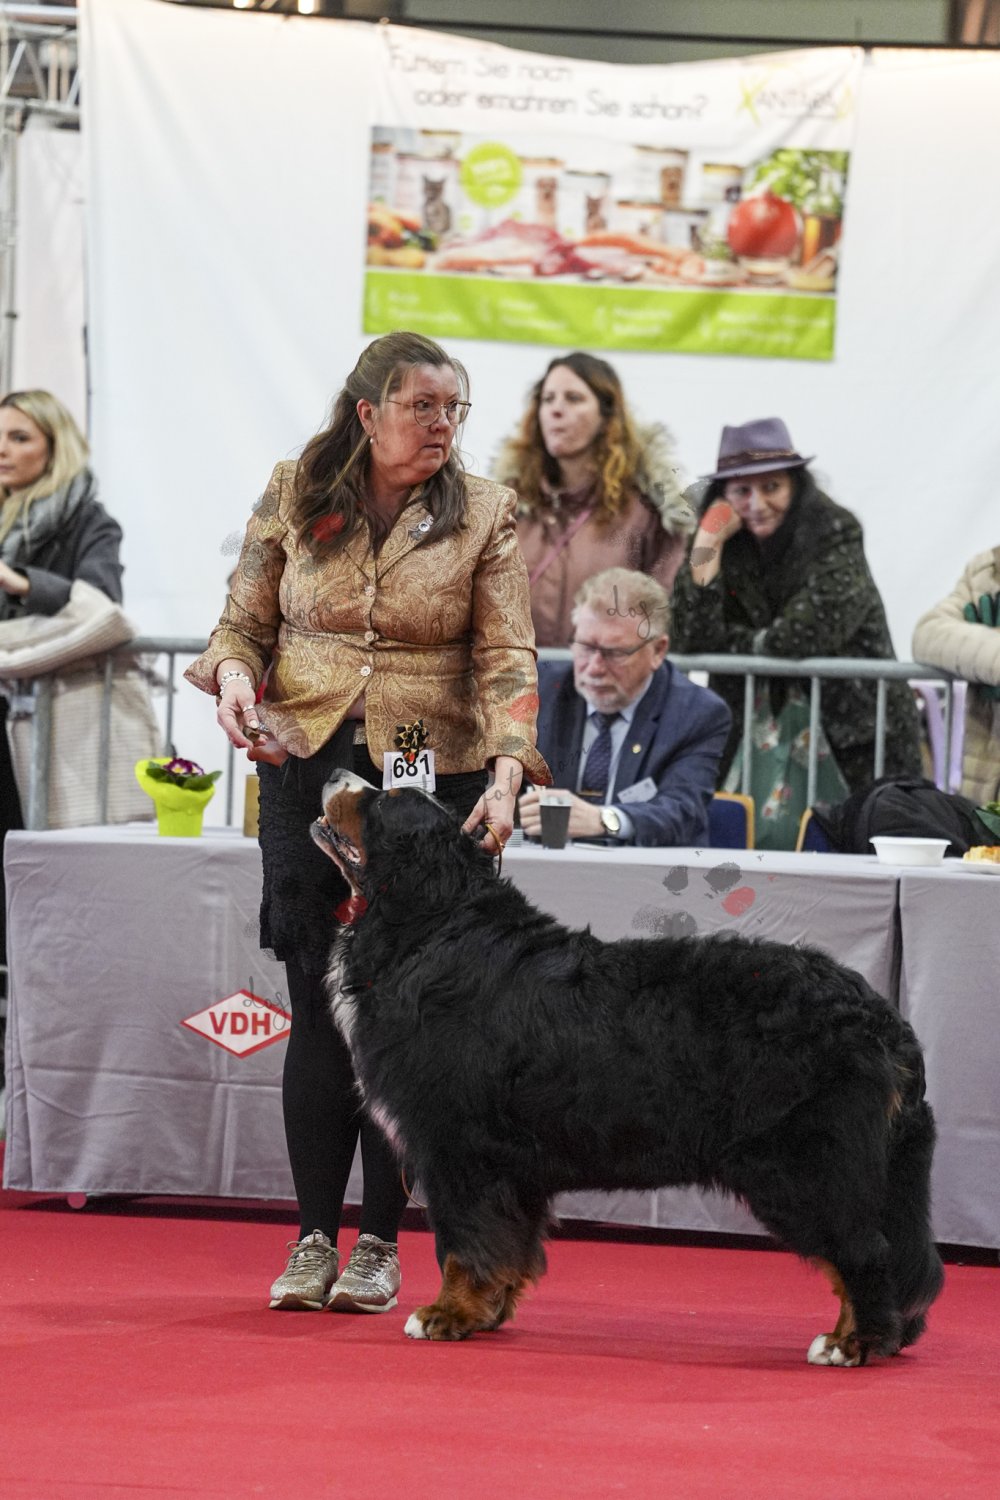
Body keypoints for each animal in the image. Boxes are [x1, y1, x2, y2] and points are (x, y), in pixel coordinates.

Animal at [311, 771, 944, 1366]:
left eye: (382, 800)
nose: (335, 772)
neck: (430, 927)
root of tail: (882, 1017)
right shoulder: (509, 1164)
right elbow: (506, 1242)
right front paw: (488, 1310)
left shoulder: (460, 1144)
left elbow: (465, 1242)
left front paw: (449, 1313)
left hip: (807, 1164)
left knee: (866, 1249)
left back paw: (852, 1341)